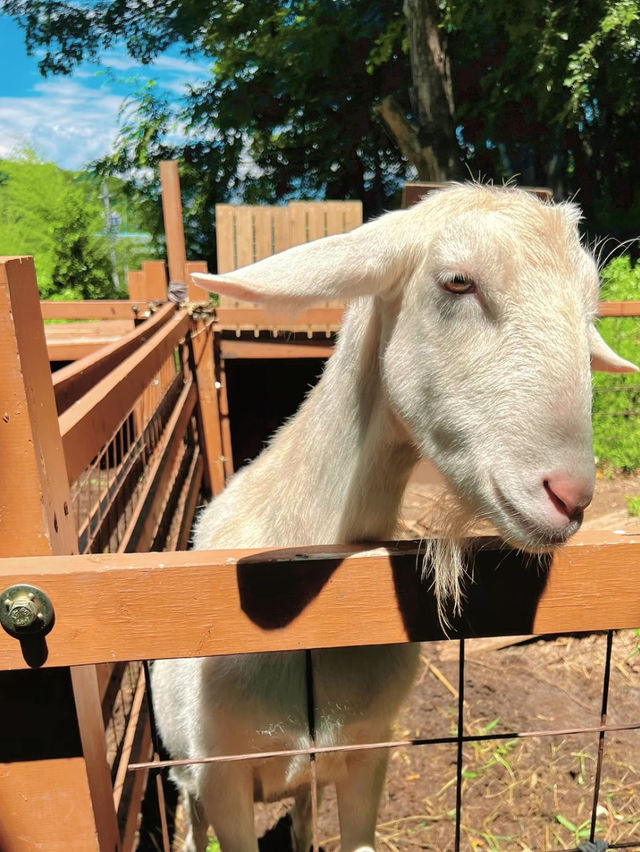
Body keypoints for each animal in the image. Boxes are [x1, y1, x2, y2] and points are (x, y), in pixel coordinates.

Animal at [150, 186, 636, 852]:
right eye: (457, 282)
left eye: (589, 307)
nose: (569, 497)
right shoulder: (221, 774)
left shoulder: (367, 754)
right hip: (187, 779)